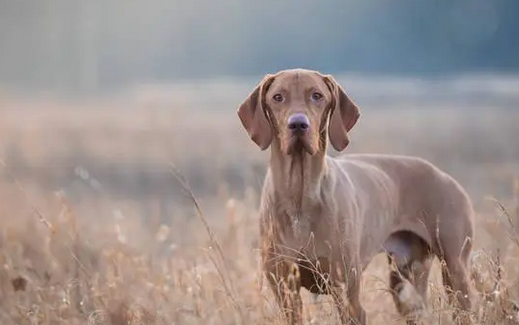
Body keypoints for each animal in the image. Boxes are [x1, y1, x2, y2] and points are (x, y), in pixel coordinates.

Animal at [238, 67, 478, 322]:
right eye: (278, 97)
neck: (300, 196)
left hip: (455, 273)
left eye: (316, 95)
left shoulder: (348, 297)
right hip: (405, 283)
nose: (298, 124)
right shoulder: (286, 293)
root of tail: (445, 176)